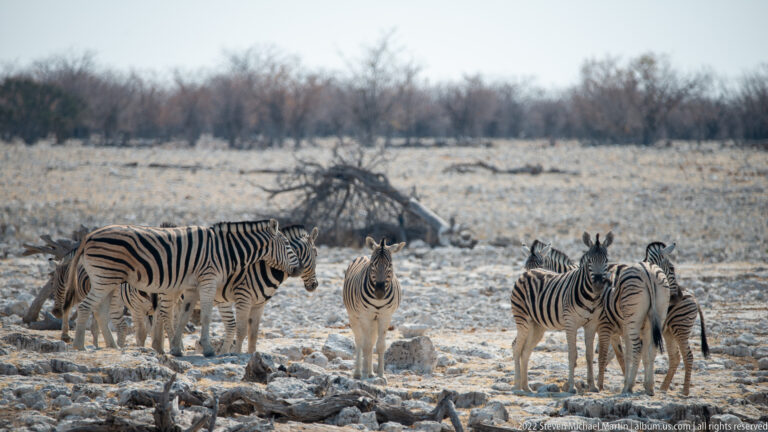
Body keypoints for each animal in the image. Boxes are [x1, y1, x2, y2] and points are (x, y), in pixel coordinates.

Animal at [66, 219, 300, 357]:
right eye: (288, 245)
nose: (297, 269)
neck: (225, 250)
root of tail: (89, 236)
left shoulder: (191, 287)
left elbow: (184, 316)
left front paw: (176, 348)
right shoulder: (208, 280)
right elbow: (205, 316)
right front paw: (207, 349)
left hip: (108, 279)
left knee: (99, 310)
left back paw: (112, 346)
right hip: (106, 277)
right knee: (86, 306)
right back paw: (79, 345)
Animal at [177, 225, 319, 354]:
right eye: (316, 254)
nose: (315, 285)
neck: (264, 268)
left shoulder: (259, 304)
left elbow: (253, 334)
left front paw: (251, 355)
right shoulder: (243, 299)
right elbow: (241, 330)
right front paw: (236, 354)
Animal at [343, 237, 405, 379]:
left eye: (390, 265)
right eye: (372, 265)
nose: (379, 292)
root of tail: (363, 256)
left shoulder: (385, 316)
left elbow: (380, 345)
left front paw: (381, 375)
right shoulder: (365, 316)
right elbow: (366, 345)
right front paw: (366, 374)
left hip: (374, 320)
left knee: (370, 340)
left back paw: (370, 372)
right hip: (354, 316)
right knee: (360, 341)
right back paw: (359, 372)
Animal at [511, 232, 612, 393]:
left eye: (606, 260)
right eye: (589, 261)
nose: (598, 284)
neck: (591, 296)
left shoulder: (592, 324)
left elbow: (589, 355)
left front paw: (592, 386)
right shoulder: (570, 324)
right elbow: (572, 354)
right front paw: (571, 386)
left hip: (537, 326)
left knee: (525, 351)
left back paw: (526, 387)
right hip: (523, 320)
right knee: (516, 347)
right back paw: (517, 386)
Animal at [644, 241, 710, 396]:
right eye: (672, 268)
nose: (678, 295)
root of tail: (694, 297)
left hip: (681, 328)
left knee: (688, 356)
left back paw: (685, 391)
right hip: (670, 331)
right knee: (675, 357)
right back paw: (663, 387)